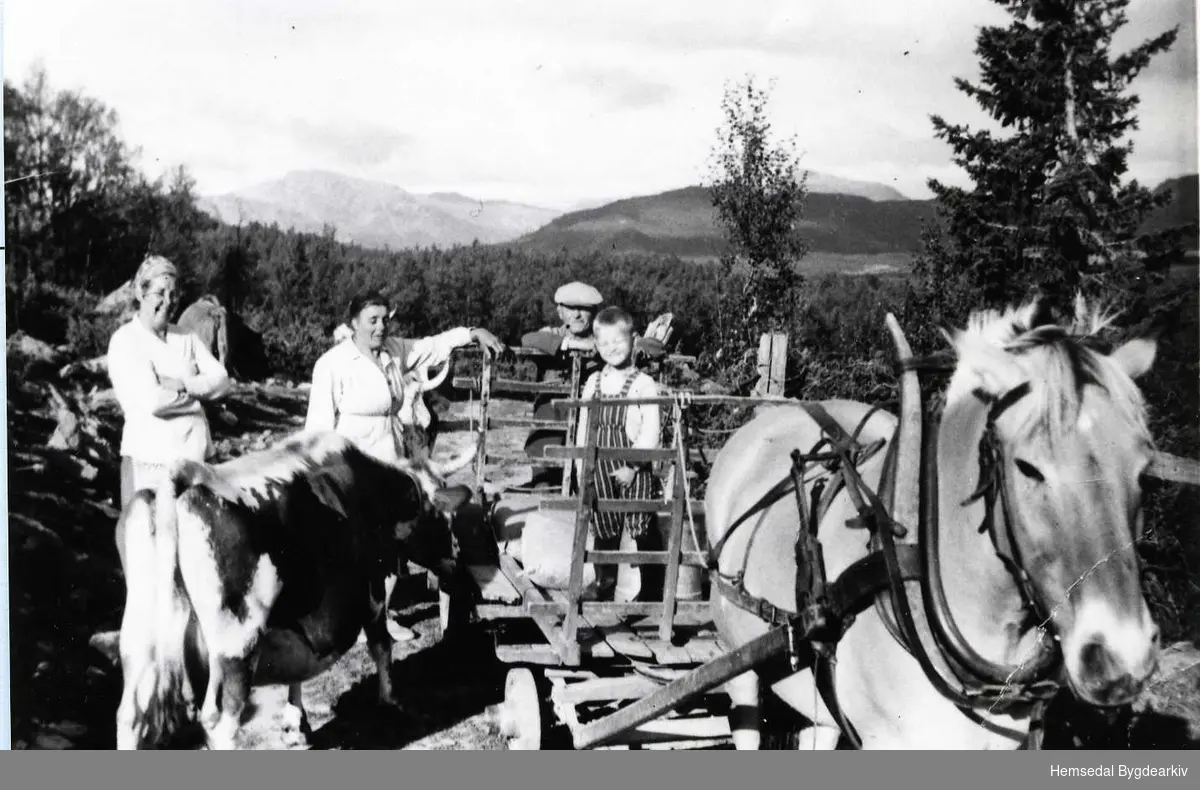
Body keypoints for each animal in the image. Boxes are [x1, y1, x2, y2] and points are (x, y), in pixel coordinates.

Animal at [114, 427, 475, 749]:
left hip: (139, 642)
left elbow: (296, 666)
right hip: (237, 644)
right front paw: (390, 700)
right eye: (445, 517)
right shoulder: (372, 592)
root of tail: (184, 475)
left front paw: (296, 724)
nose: (457, 560)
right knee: (221, 722)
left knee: (130, 716)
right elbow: (381, 646)